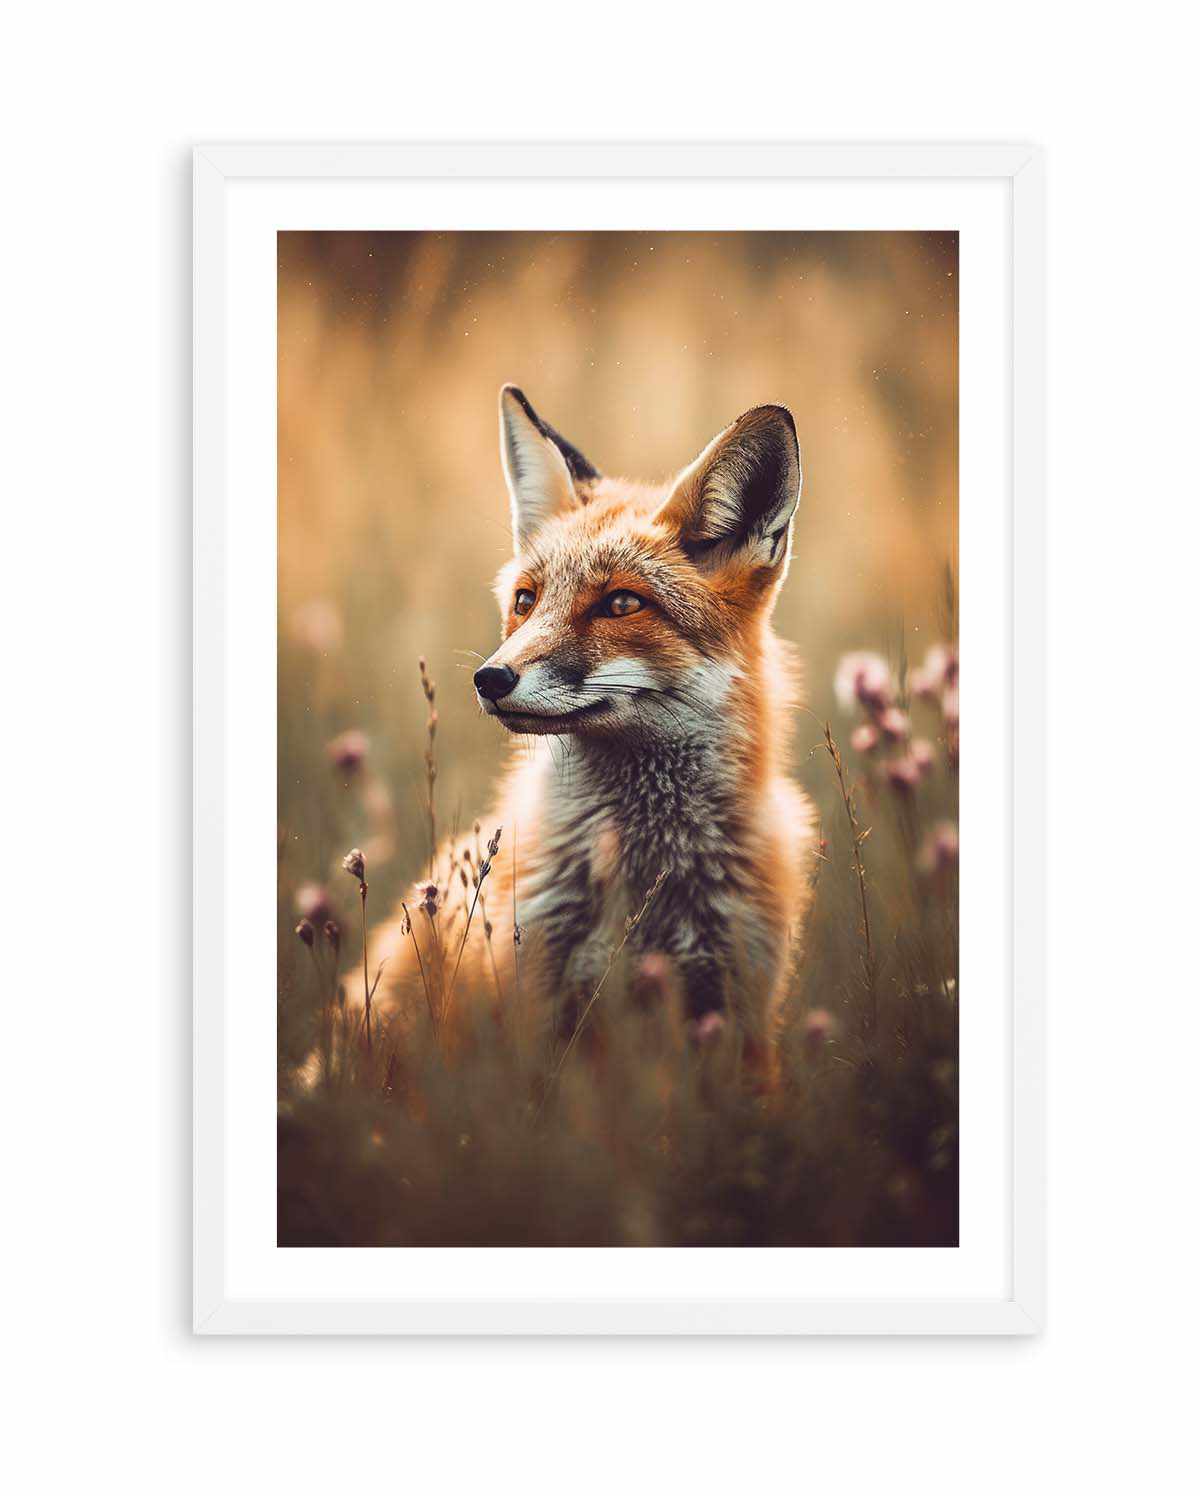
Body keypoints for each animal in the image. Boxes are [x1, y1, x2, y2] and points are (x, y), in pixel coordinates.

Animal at [332, 385, 816, 1068]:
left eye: (621, 603)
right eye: (526, 600)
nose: (489, 678)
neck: (646, 879)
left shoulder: (739, 1010)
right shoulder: (534, 1007)